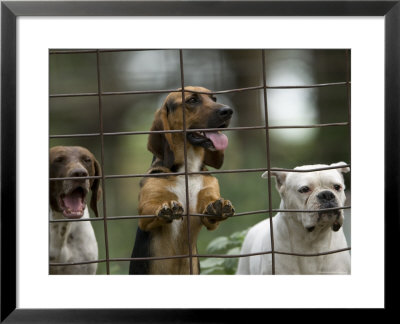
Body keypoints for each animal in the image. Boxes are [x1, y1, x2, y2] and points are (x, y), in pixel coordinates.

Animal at [128, 85, 234, 274]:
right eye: (192, 100)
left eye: (214, 99)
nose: (228, 111)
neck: (188, 170)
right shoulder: (145, 215)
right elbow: (153, 208)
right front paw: (167, 207)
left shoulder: (208, 212)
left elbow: (211, 207)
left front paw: (219, 206)